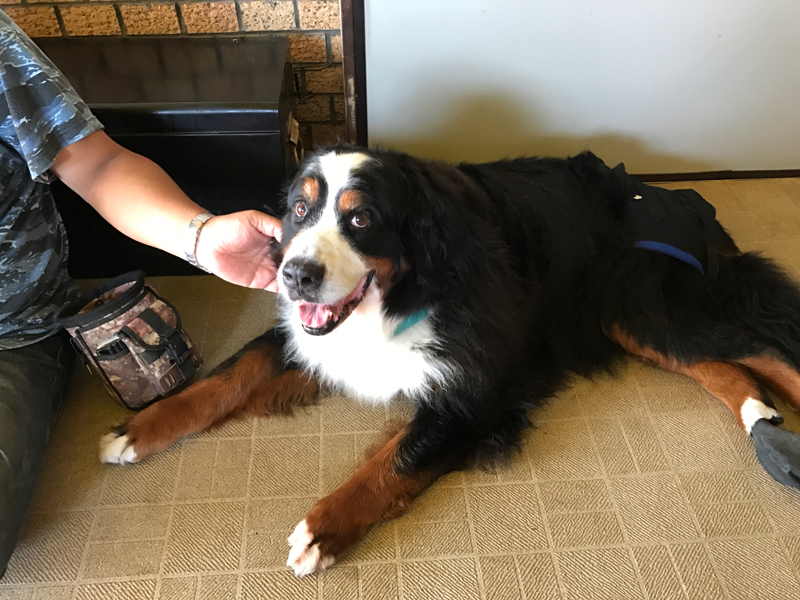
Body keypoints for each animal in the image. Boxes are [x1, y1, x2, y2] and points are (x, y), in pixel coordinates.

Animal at [99, 146, 800, 577]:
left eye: (361, 218)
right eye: (299, 209)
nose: (295, 275)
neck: (406, 292)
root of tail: (685, 201)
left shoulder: (476, 393)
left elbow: (395, 459)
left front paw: (322, 530)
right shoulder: (308, 335)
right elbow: (229, 375)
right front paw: (138, 429)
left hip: (642, 307)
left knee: (760, 349)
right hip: (631, 320)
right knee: (726, 367)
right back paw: (758, 416)